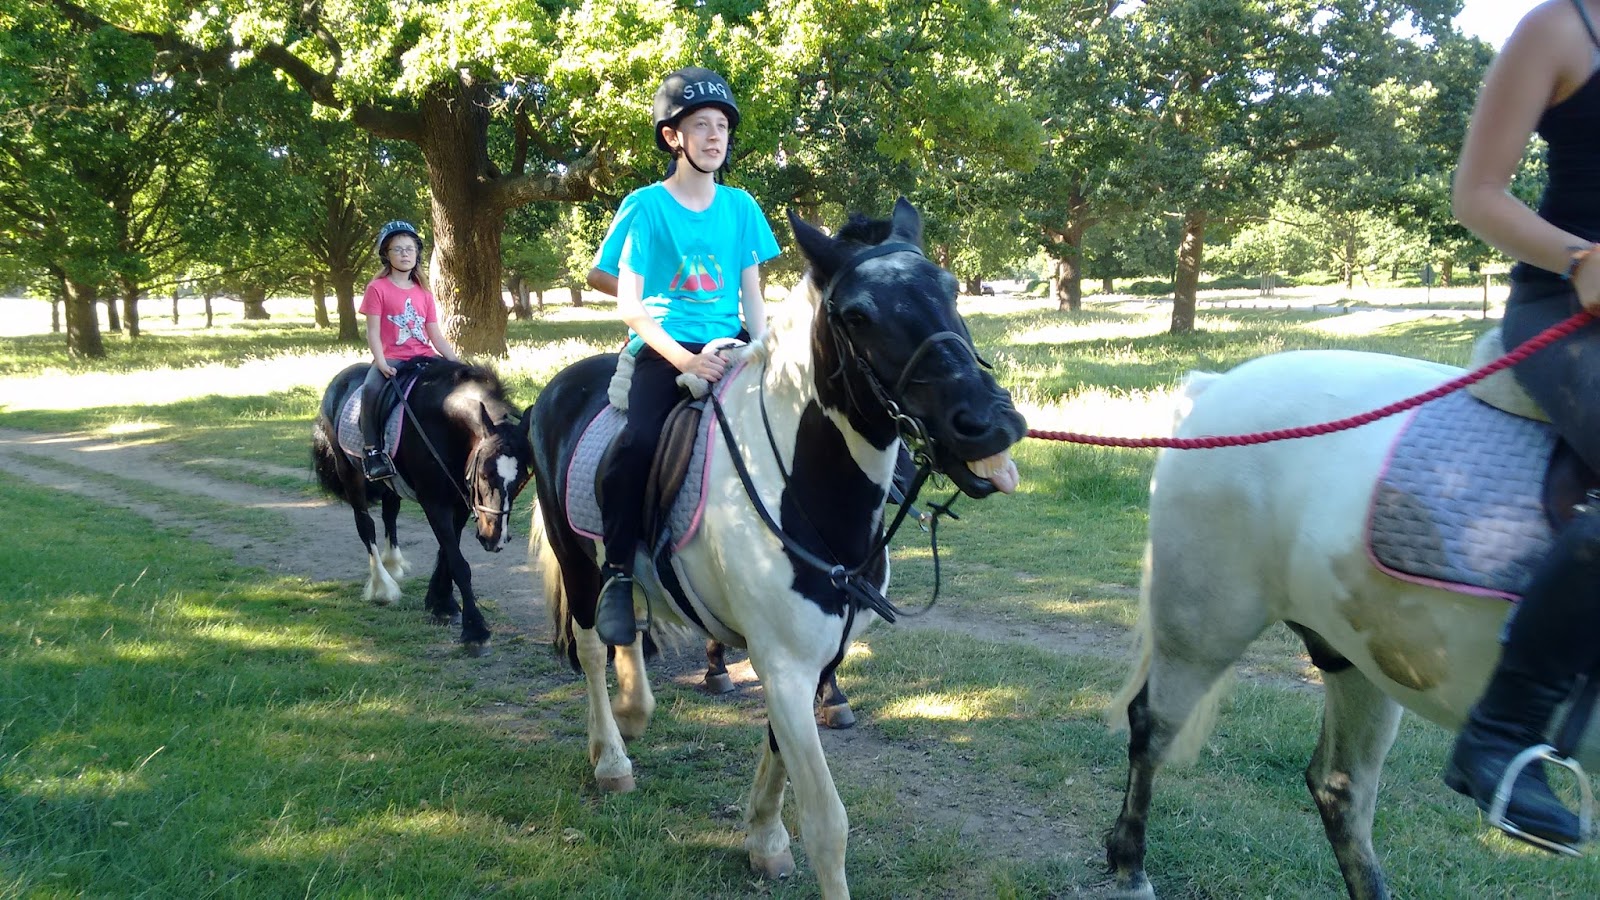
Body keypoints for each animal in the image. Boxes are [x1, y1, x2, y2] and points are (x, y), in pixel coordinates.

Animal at [312, 358, 533, 656]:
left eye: (521, 479)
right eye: (485, 475)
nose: (494, 538)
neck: (444, 424)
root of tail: (338, 380)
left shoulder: (459, 501)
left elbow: (447, 553)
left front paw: (441, 604)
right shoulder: (434, 502)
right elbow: (458, 562)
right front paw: (475, 630)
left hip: (390, 483)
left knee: (390, 514)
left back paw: (393, 564)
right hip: (350, 473)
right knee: (365, 526)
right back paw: (383, 587)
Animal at [525, 198, 1026, 898]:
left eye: (951, 290)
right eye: (856, 316)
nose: (987, 423)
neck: (803, 487)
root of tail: (558, 386)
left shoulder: (809, 661)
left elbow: (779, 754)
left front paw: (762, 838)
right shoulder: (783, 663)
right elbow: (826, 823)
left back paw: (633, 709)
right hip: (575, 556)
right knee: (595, 642)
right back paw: (611, 759)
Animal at [1104, 346, 1600, 899]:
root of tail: (1215, 386)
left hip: (1364, 662)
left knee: (1339, 788)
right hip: (1202, 631)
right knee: (1151, 727)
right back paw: (1131, 870)